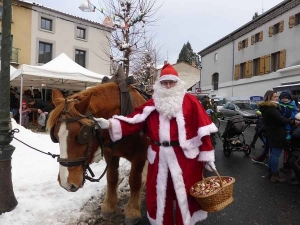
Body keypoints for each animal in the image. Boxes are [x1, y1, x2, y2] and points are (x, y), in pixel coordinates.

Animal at [47, 82, 149, 225]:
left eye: (82, 135)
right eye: (55, 136)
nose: (66, 183)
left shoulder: (139, 155)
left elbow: (134, 180)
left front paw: (132, 211)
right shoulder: (109, 153)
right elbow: (112, 177)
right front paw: (109, 206)